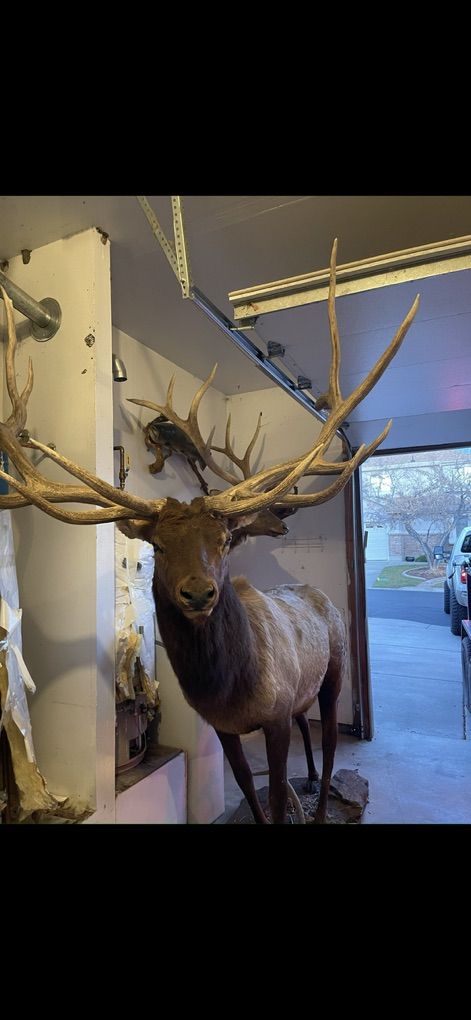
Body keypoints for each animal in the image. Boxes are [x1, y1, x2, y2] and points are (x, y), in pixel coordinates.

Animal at [0, 241, 419, 823]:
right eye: (156, 545)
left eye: (222, 541)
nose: (198, 593)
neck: (229, 689)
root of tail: (321, 596)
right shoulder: (225, 728)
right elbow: (246, 787)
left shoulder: (272, 714)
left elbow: (275, 784)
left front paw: (292, 804)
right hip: (303, 693)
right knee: (309, 734)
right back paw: (309, 781)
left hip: (334, 670)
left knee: (334, 738)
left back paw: (320, 800)